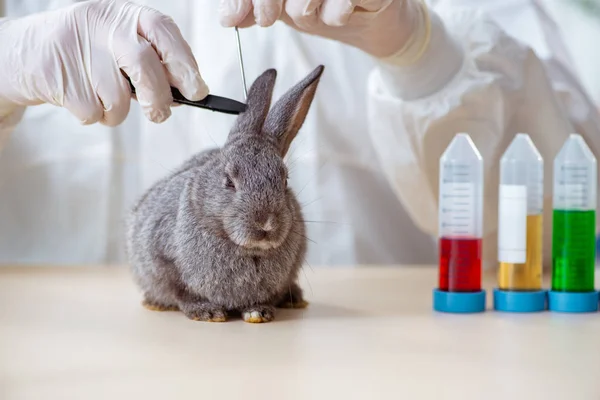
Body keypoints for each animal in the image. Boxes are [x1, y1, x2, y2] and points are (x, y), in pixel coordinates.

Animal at [124, 65, 326, 322]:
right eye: (229, 181)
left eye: (284, 180)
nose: (266, 224)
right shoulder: (160, 257)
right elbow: (179, 290)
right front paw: (207, 312)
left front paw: (258, 312)